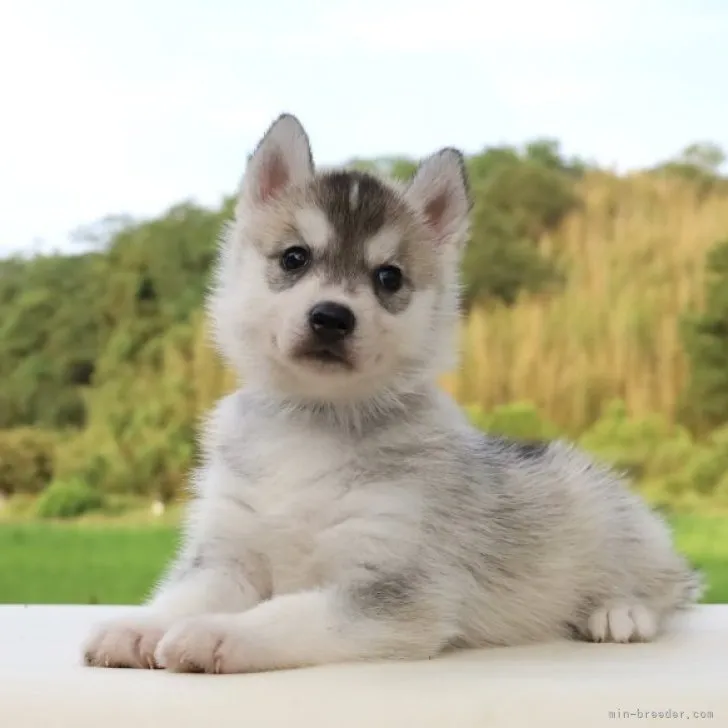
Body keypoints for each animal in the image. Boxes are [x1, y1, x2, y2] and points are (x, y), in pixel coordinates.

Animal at [82, 115, 704, 676]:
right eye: (294, 258)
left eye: (389, 277)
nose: (331, 318)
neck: (313, 424)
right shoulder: (226, 555)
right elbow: (185, 595)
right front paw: (141, 625)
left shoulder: (394, 588)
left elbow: (287, 613)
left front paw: (218, 633)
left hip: (605, 515)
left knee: (669, 585)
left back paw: (619, 611)